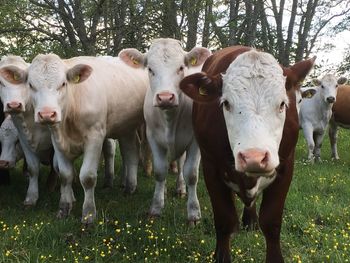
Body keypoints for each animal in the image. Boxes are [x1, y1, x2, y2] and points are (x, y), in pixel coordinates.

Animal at [22, 54, 148, 224]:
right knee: (131, 151)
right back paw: (129, 187)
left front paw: (88, 215)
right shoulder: (57, 140)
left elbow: (87, 177)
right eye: (31, 85)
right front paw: (64, 209)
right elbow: (65, 175)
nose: (47, 114)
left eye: (63, 83)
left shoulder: (95, 136)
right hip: (126, 126)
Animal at [119, 37, 211, 225]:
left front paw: (193, 213)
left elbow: (191, 174)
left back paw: (181, 188)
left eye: (181, 68)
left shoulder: (194, 141)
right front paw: (156, 207)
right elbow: (160, 171)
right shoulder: (153, 138)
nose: (165, 98)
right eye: (150, 69)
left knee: (182, 165)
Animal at [180, 46, 314, 262]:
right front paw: (221, 255)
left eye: (282, 104)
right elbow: (224, 220)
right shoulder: (211, 167)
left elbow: (272, 223)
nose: (254, 158)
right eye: (226, 103)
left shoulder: (286, 167)